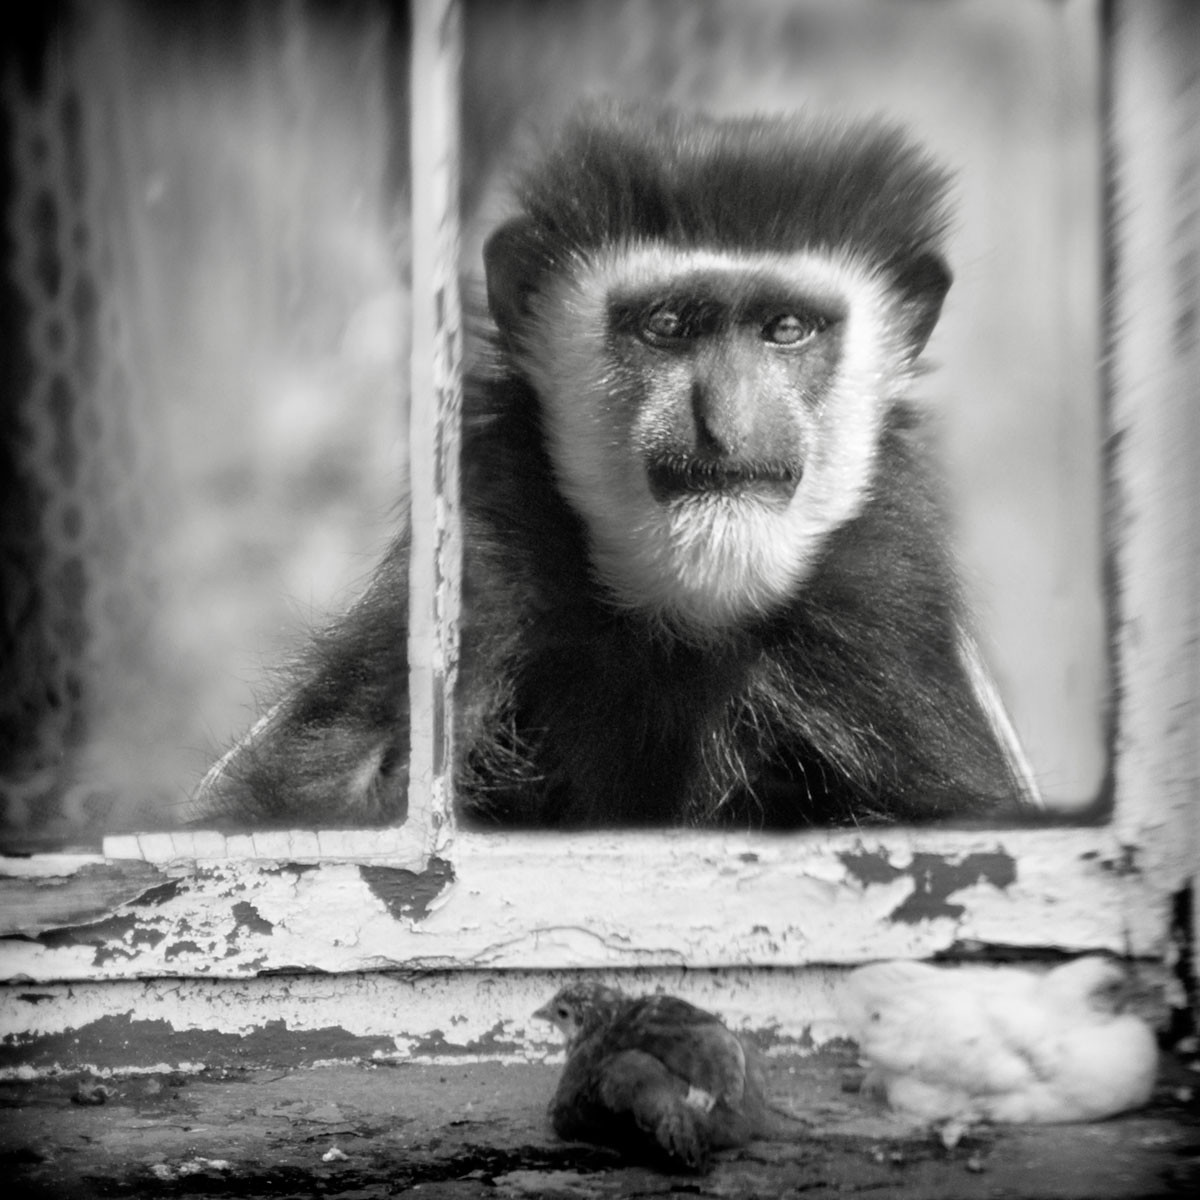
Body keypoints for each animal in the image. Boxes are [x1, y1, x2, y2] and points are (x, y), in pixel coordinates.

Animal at [194, 103, 1032, 830]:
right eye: (667, 325)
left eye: (787, 328)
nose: (726, 425)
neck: (683, 617)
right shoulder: (487, 536)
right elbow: (333, 781)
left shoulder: (882, 599)